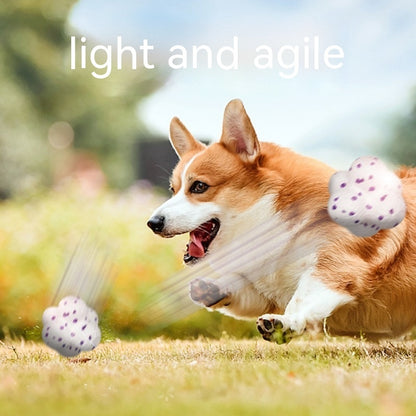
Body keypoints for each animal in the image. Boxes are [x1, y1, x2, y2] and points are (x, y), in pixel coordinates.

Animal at [147, 98, 416, 342]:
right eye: (173, 189)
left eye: (199, 186)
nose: (153, 223)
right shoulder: (263, 293)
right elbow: (244, 292)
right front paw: (212, 288)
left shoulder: (337, 267)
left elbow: (302, 298)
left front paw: (285, 323)